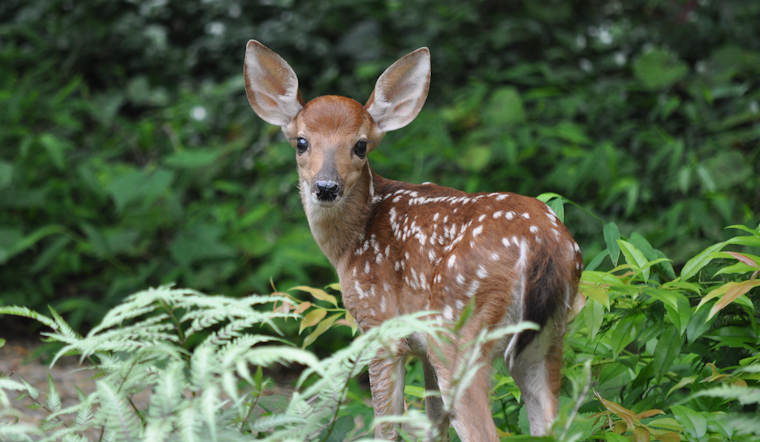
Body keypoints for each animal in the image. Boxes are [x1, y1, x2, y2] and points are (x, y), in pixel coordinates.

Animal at [243, 40, 583, 441]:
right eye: (301, 142)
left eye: (360, 146)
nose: (326, 187)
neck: (351, 244)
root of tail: (543, 245)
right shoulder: (421, 347)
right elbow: (434, 422)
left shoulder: (379, 324)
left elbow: (387, 424)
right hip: (548, 338)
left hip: (461, 329)